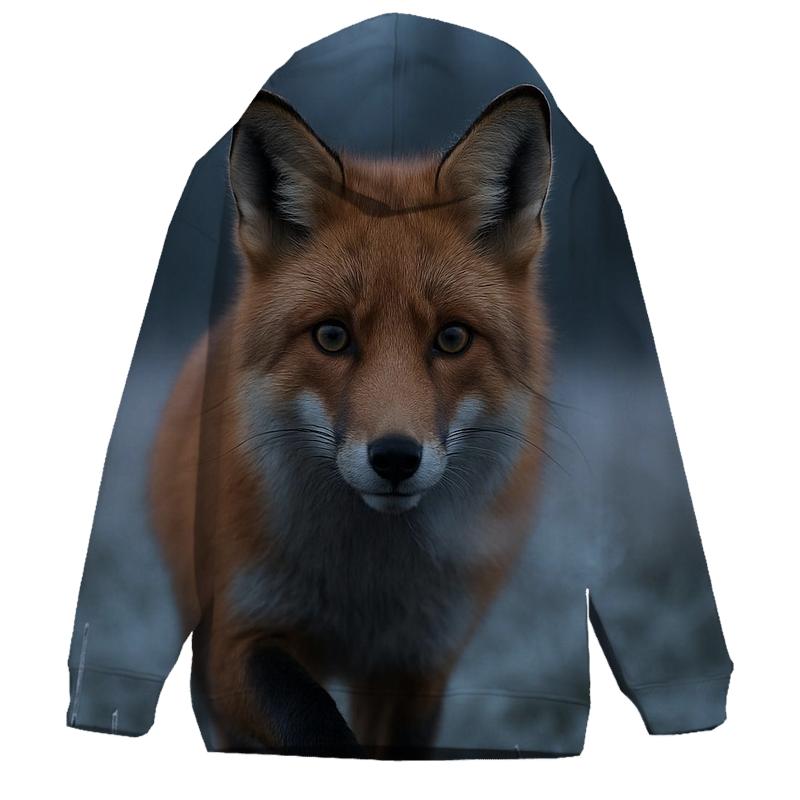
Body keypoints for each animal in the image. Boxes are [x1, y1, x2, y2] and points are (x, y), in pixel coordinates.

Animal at [149, 83, 553, 757]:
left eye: (452, 338)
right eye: (332, 336)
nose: (394, 458)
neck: (365, 589)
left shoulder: (418, 665)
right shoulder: (234, 636)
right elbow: (314, 723)